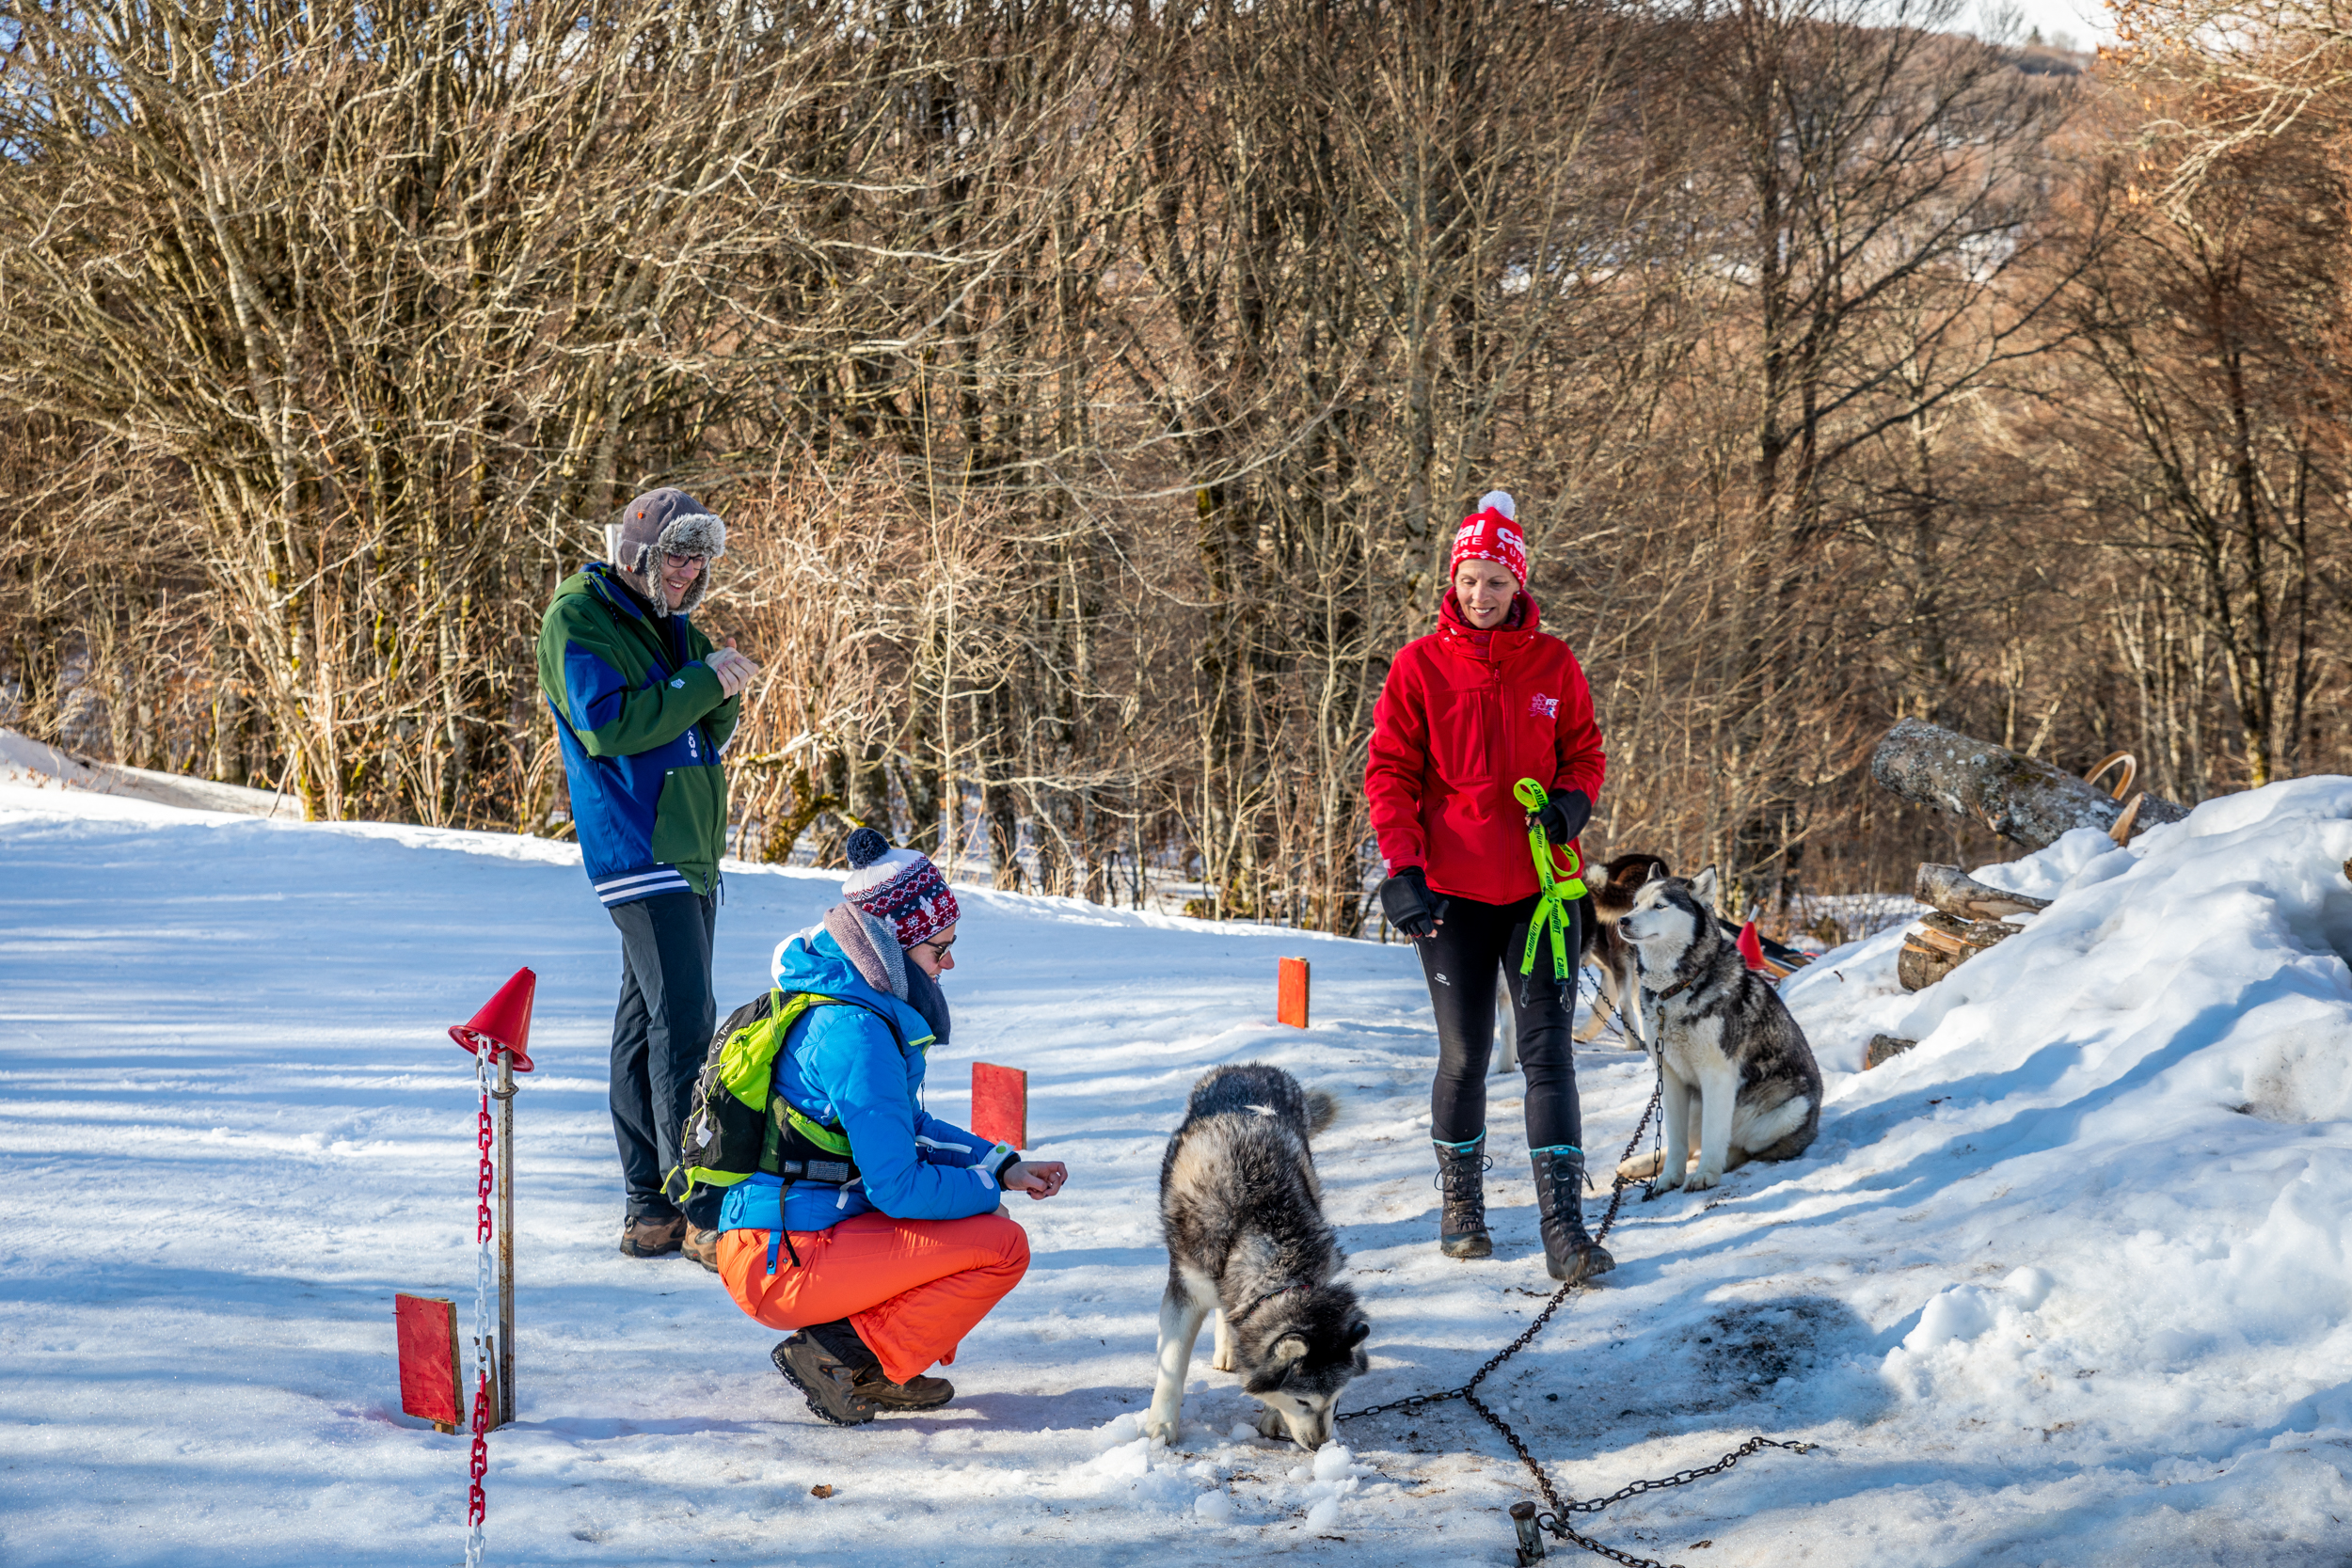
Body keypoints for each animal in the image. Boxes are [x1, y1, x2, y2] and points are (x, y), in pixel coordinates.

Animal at [1143, 1062, 1374, 1457]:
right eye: (1303, 1401)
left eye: (1336, 1399)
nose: (1320, 1446)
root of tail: (1252, 1067)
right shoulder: (1185, 1287)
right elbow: (1172, 1364)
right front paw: (1161, 1427)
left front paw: (1271, 1416)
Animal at [1609, 869, 1825, 1189]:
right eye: (1635, 904)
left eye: (1659, 906)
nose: (1622, 920)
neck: (1674, 989)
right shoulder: (1669, 1077)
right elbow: (1676, 1141)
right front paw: (1669, 1178)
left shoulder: (1717, 1073)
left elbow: (1713, 1135)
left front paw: (1706, 1175)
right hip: (1696, 1105)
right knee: (1691, 1144)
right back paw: (1639, 1165)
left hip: (1789, 1111)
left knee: (1737, 1146)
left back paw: (1720, 1161)